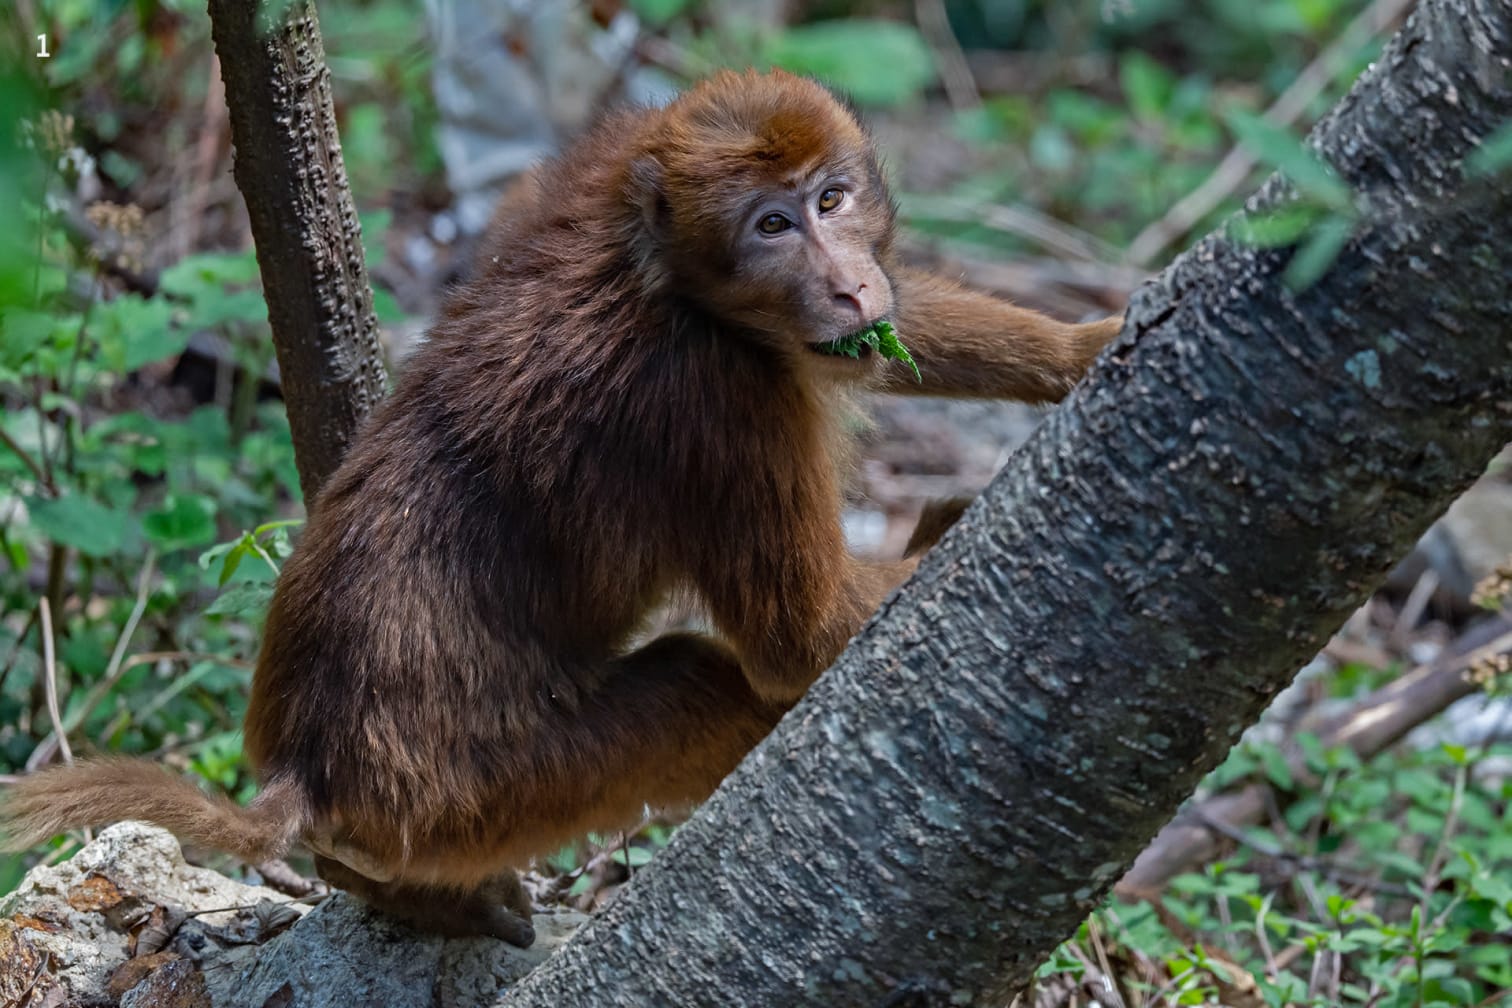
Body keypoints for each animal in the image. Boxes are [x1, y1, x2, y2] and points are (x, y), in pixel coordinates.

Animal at [1, 70, 1122, 947]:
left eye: (833, 199)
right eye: (772, 225)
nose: (846, 285)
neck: (665, 275)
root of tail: (306, 766)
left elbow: (893, 332)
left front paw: (1084, 349)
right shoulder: (717, 400)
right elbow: (795, 640)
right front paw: (945, 538)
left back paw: (386, 894)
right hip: (486, 789)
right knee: (693, 687)